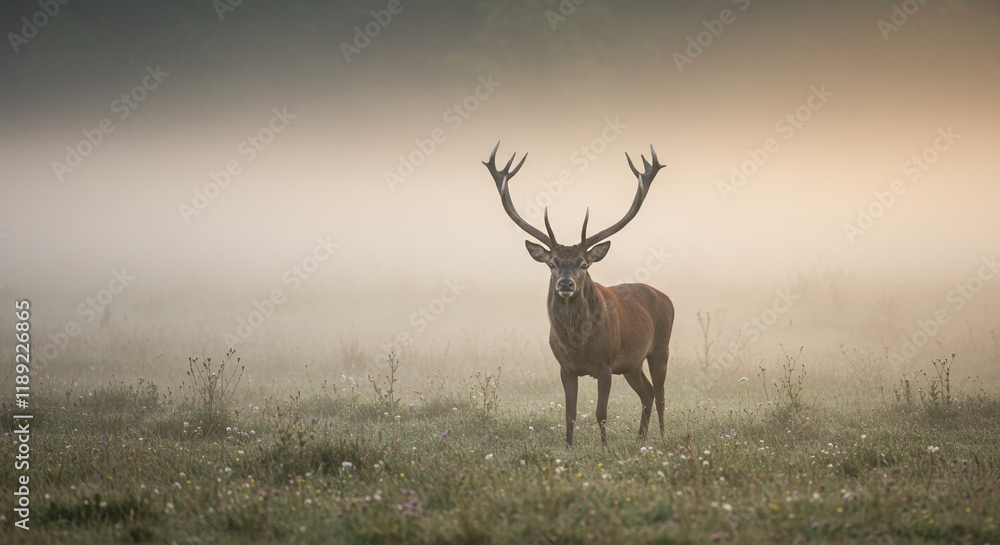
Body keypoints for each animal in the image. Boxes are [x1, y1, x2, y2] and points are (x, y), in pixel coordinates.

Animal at [483, 142, 674, 447]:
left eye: (584, 264)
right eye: (552, 263)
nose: (566, 284)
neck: (578, 344)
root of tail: (666, 297)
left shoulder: (607, 363)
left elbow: (601, 412)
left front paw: (605, 447)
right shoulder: (565, 367)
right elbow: (570, 413)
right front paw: (569, 446)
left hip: (660, 347)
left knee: (660, 395)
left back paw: (662, 436)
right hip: (631, 364)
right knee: (647, 393)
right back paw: (640, 438)